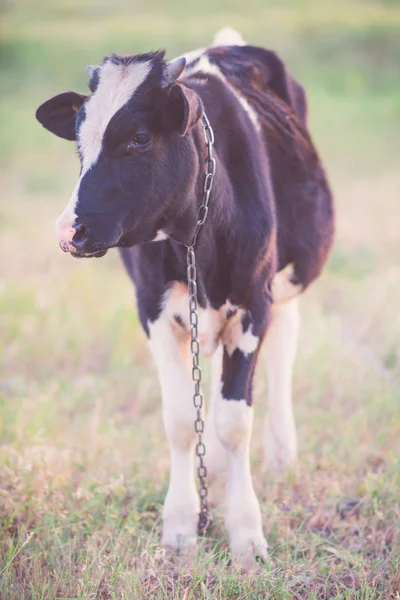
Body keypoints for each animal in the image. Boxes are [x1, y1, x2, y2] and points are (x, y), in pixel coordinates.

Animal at [35, 29, 334, 568]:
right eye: (79, 140)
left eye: (138, 137)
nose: (68, 231)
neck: (198, 238)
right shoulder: (152, 311)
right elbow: (179, 420)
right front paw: (180, 524)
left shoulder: (253, 305)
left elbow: (236, 421)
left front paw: (246, 534)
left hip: (285, 285)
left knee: (284, 347)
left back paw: (281, 454)